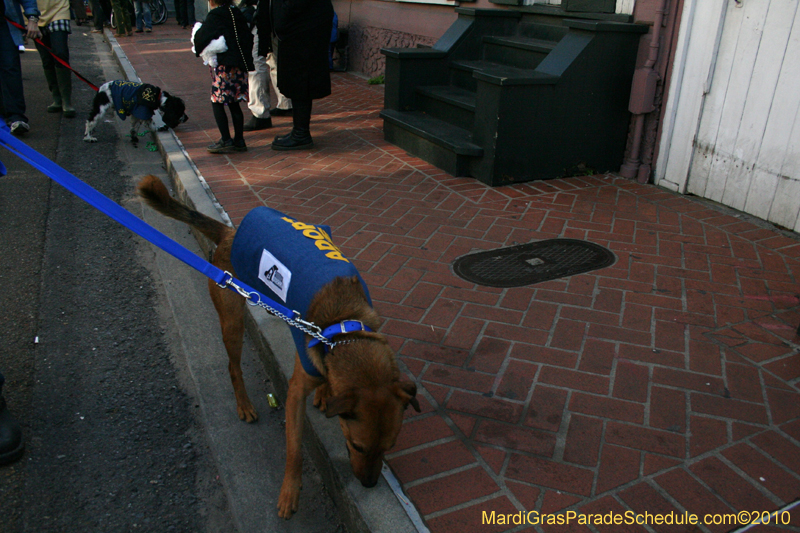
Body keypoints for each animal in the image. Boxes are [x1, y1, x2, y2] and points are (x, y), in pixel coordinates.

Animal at [134, 177, 422, 516]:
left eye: (389, 447)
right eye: (356, 446)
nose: (369, 484)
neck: (344, 326)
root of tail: (230, 234)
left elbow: (327, 382)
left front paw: (325, 393)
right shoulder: (295, 393)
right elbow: (294, 449)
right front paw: (289, 492)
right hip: (232, 321)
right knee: (233, 366)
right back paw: (244, 404)